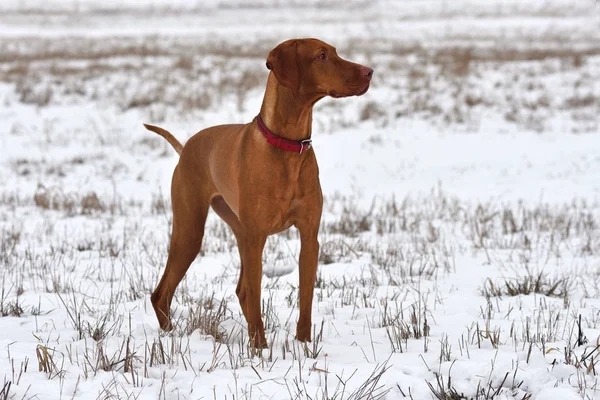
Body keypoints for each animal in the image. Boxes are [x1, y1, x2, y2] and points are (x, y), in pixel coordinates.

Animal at [144, 39, 370, 348]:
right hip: (190, 232)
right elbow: (256, 294)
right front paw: (259, 349)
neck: (288, 146)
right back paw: (171, 336)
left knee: (241, 290)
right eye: (321, 56)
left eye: (335, 52)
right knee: (162, 292)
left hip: (237, 232)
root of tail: (186, 147)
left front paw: (303, 344)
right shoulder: (256, 239)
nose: (369, 72)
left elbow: (306, 298)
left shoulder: (309, 238)